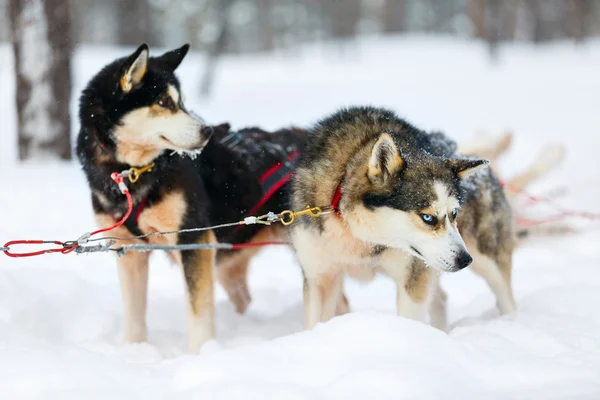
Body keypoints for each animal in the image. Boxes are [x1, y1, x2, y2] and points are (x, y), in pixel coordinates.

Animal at [76, 42, 304, 352]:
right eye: (164, 102)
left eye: (182, 101)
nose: (207, 130)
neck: (132, 173)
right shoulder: (128, 249)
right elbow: (134, 314)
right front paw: (135, 351)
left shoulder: (193, 239)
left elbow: (198, 312)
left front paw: (200, 353)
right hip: (228, 260)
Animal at [290, 105, 516, 328]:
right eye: (428, 218)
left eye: (454, 213)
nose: (464, 259)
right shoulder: (320, 276)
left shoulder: (413, 278)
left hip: (488, 260)